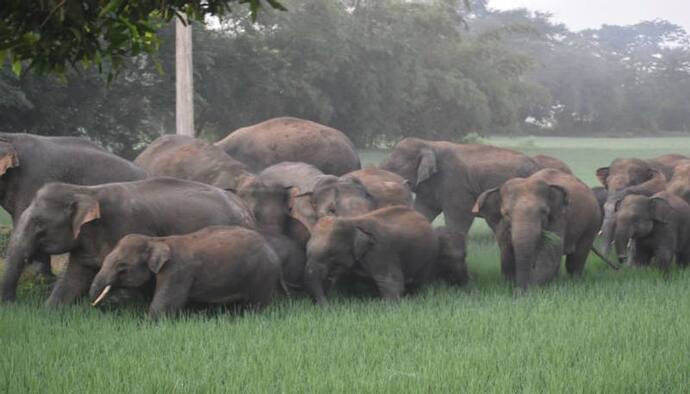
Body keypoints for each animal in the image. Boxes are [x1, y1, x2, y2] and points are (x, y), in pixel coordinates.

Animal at [1, 177, 256, 304]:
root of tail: (245, 208)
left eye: (38, 223)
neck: (86, 191)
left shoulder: (128, 226)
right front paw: (49, 313)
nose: (12, 302)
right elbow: (72, 280)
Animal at [90, 225, 280, 320]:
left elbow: (164, 305)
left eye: (122, 267)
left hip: (263, 273)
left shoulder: (176, 271)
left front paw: (146, 323)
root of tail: (269, 246)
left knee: (256, 306)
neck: (157, 241)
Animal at [306, 205, 436, 304]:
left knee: (420, 280)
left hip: (428, 257)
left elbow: (391, 282)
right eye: (307, 250)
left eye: (331, 254)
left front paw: (388, 306)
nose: (327, 306)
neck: (352, 221)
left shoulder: (381, 250)